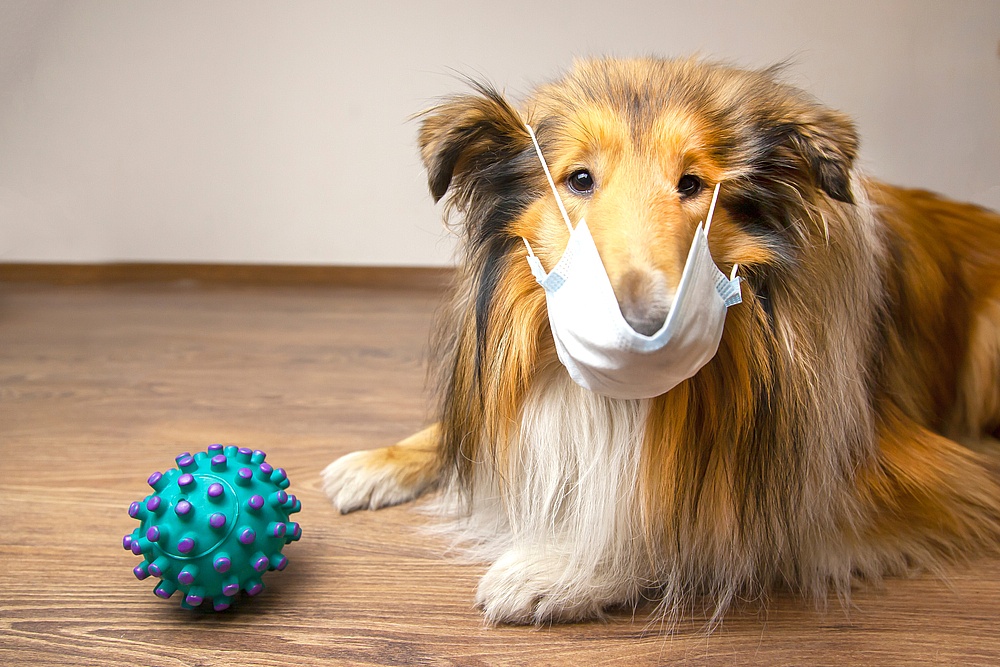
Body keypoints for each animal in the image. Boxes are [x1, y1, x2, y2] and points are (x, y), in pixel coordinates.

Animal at [323, 57, 1000, 627]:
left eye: (693, 183)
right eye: (579, 179)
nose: (643, 325)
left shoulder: (905, 476)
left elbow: (692, 525)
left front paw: (560, 569)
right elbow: (472, 430)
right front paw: (377, 462)